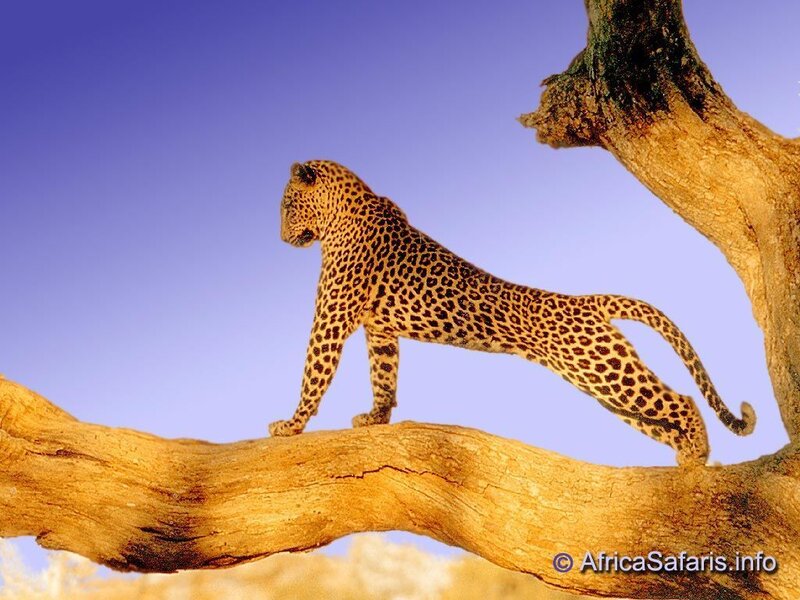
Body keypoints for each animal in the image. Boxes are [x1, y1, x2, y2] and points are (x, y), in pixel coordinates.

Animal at [269, 159, 756, 465]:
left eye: (287, 205)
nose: (281, 238)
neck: (344, 210)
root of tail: (585, 300)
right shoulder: (380, 331)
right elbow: (383, 377)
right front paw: (376, 418)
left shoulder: (330, 321)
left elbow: (314, 374)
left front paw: (291, 425)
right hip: (601, 382)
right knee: (659, 416)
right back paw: (686, 455)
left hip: (606, 370)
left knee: (682, 401)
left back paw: (696, 454)